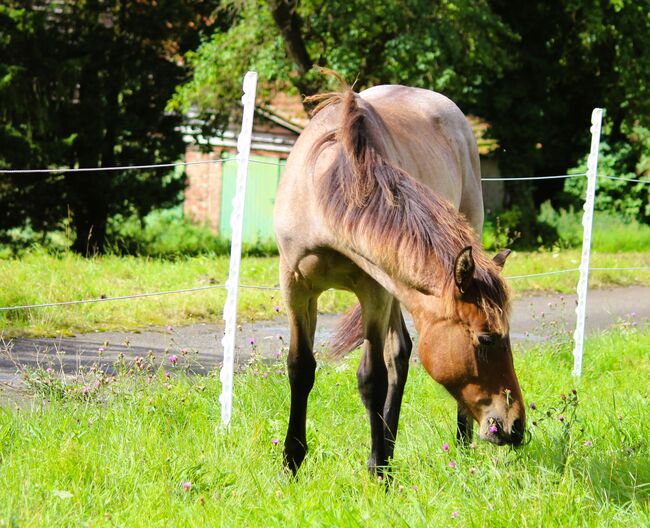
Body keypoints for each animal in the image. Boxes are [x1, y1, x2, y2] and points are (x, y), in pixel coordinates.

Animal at [270, 83, 524, 474]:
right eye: (486, 339)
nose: (515, 425)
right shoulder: (296, 287)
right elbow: (300, 368)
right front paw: (292, 460)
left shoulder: (374, 291)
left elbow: (372, 378)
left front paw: (377, 467)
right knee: (399, 352)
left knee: (397, 357)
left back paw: (452, 445)